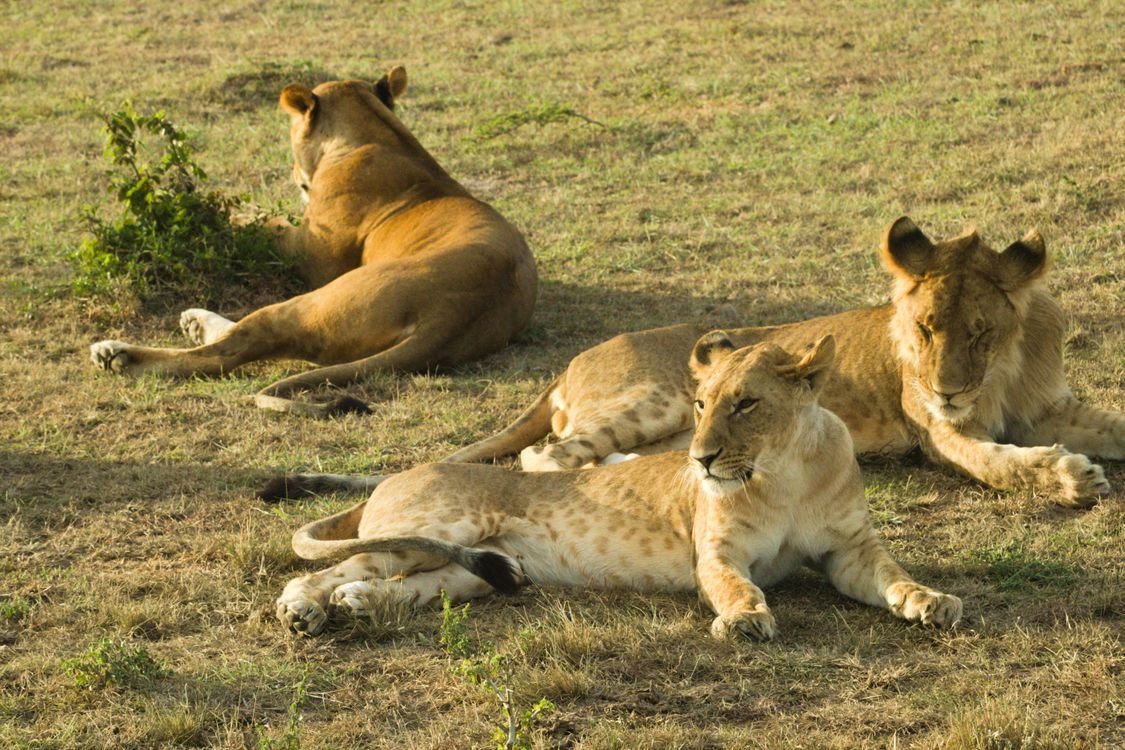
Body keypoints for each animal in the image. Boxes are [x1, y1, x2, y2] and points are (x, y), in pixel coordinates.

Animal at [89, 66, 537, 416]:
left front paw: (202, 208)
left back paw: (118, 354)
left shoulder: (309, 254)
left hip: (321, 300)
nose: (291, 173)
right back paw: (191, 324)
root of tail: (453, 315)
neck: (377, 133)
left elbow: (259, 224)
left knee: (231, 350)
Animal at [275, 334, 962, 639]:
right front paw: (745, 620)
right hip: (430, 529)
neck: (783, 469)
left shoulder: (851, 550)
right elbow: (736, 586)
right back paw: (304, 612)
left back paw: (361, 605)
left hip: (484, 568)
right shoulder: (716, 554)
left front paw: (932, 601)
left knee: (414, 586)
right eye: (701, 403)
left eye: (746, 404)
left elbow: (894, 576)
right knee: (321, 570)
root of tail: (393, 478)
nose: (700, 458)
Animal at [430, 217, 1120, 507]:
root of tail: (572, 361)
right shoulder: (939, 432)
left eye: (980, 333)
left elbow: (1111, 425)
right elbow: (997, 461)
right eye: (925, 330)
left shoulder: (1050, 407)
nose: (947, 391)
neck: (1002, 371)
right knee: (545, 456)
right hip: (659, 401)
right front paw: (1070, 478)